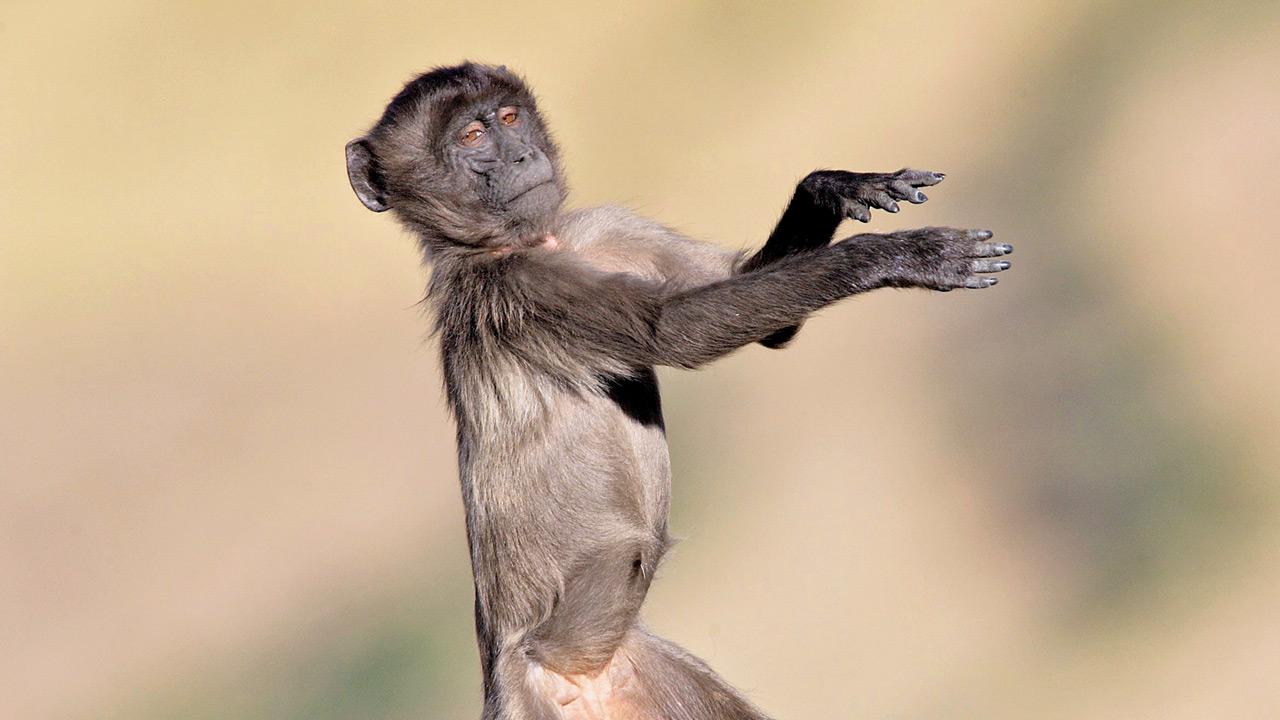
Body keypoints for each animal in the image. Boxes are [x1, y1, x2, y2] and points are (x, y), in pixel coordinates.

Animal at [346, 63, 1012, 720]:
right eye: (472, 137)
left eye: (508, 118)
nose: (521, 155)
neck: (535, 243)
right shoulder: (516, 288)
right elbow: (675, 331)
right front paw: (900, 255)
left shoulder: (606, 227)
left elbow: (767, 326)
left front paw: (833, 188)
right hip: (529, 702)